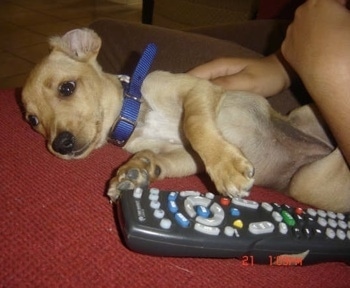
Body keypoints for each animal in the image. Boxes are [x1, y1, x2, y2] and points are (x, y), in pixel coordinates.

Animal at [22, 28, 350, 213]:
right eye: (33, 120)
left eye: (67, 88)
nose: (60, 145)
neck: (136, 113)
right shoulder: (187, 157)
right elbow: (160, 158)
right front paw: (136, 171)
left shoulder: (198, 89)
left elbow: (194, 124)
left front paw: (227, 168)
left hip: (308, 169)